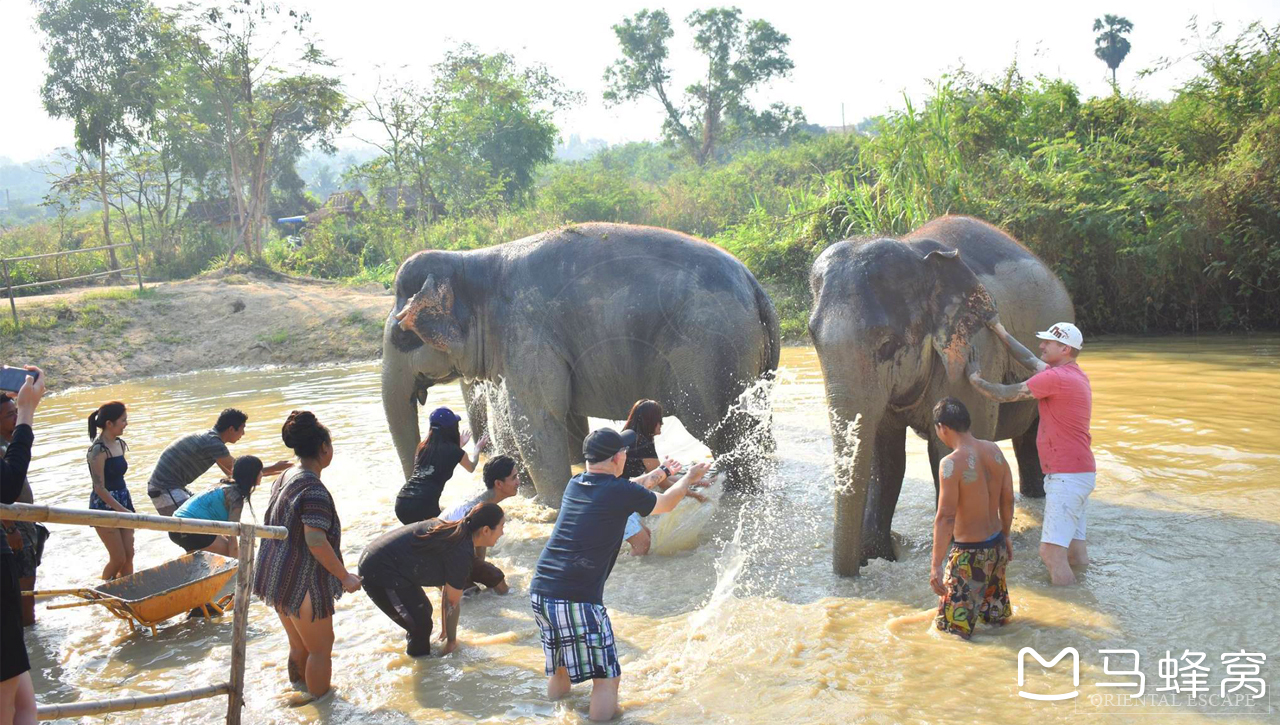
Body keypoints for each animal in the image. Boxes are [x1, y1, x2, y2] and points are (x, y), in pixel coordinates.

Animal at [378, 224, 778, 509]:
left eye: (400, 333)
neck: (470, 260)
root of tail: (755, 284)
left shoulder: (524, 332)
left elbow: (535, 421)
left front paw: (550, 506)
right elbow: (565, 417)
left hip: (708, 349)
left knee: (721, 428)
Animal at [808, 216, 1080, 578]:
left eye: (887, 345)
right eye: (812, 338)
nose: (852, 573)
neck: (914, 252)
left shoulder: (975, 346)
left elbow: (949, 453)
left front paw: (953, 550)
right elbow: (886, 458)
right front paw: (879, 555)